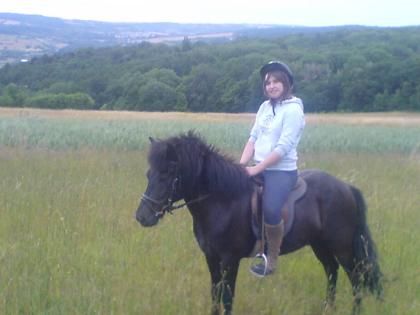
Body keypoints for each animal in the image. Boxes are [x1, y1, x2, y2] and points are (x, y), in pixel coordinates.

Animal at [136, 132, 382, 314]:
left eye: (168, 172)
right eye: (148, 173)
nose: (142, 216)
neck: (222, 201)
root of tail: (346, 187)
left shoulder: (230, 260)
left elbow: (227, 298)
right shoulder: (211, 258)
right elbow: (215, 295)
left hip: (343, 247)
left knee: (356, 277)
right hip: (319, 244)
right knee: (331, 271)